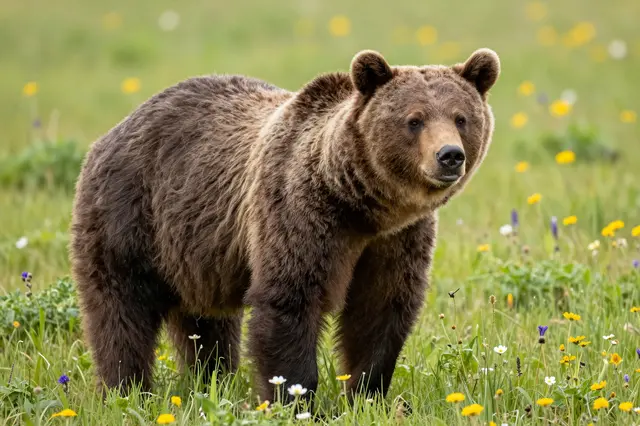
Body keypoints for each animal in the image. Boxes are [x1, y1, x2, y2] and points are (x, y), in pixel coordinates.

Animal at [69, 48, 500, 403]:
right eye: (414, 120)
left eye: (461, 118)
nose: (450, 155)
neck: (363, 207)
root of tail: (112, 131)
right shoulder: (299, 212)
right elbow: (289, 299)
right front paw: (294, 398)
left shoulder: (395, 240)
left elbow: (380, 310)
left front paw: (367, 394)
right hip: (129, 215)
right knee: (121, 311)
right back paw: (126, 389)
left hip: (196, 248)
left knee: (206, 323)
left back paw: (211, 380)